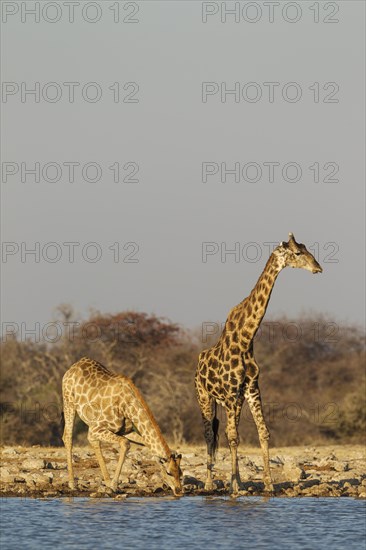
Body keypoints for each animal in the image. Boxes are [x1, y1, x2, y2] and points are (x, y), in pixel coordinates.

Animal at [62, 360, 183, 498]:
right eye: (169, 472)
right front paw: (114, 485)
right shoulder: (96, 428)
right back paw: (73, 484)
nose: (179, 491)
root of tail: (74, 366)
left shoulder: (126, 431)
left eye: (180, 472)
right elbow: (125, 443)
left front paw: (112, 485)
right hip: (69, 402)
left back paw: (105, 482)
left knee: (91, 441)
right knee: (68, 437)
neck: (127, 406)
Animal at [196, 233, 322, 496]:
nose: (318, 268)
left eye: (307, 250)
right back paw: (210, 483)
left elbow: (262, 433)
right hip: (205, 396)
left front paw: (267, 484)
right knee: (209, 434)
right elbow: (232, 437)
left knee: (223, 432)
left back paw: (233, 481)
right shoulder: (231, 393)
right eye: (297, 253)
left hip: (230, 401)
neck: (246, 339)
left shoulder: (251, 389)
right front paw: (234, 488)